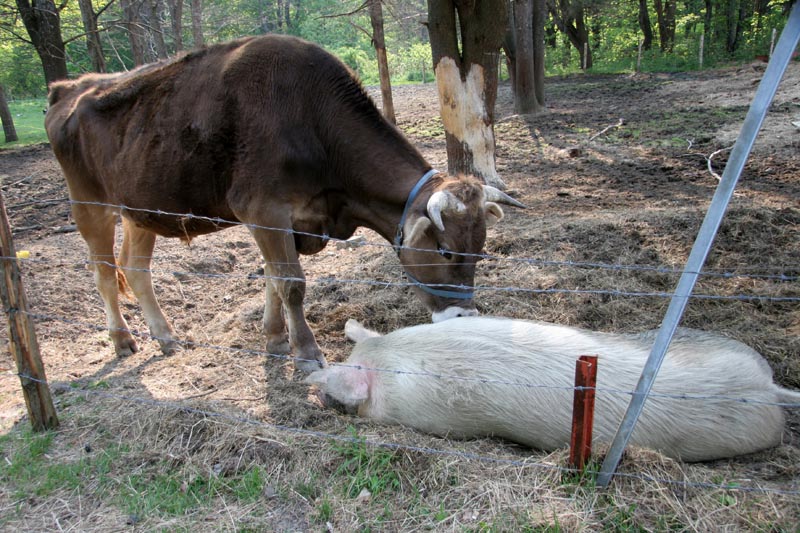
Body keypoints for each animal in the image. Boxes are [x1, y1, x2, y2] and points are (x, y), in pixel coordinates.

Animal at [44, 35, 524, 372]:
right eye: (445, 249)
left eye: (480, 250)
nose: (464, 315)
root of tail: (73, 86)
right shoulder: (264, 210)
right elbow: (290, 282)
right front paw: (306, 352)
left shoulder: (288, 221)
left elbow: (273, 279)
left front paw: (275, 339)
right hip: (88, 203)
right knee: (104, 273)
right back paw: (121, 339)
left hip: (141, 211)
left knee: (134, 268)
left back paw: (164, 335)